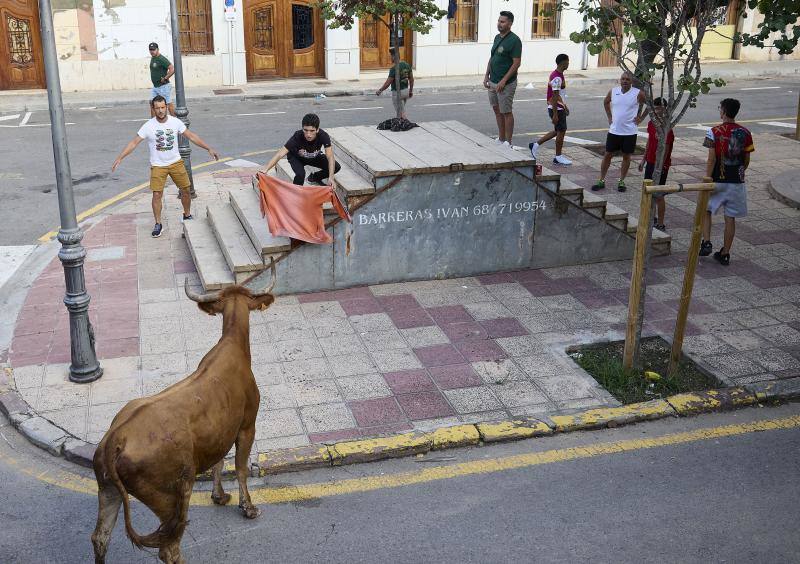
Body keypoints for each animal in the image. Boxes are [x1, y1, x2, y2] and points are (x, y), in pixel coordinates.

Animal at [92, 262, 276, 560]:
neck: (234, 345)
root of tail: (115, 439)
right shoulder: (247, 425)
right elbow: (240, 468)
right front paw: (248, 507)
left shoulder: (219, 432)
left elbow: (218, 462)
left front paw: (219, 496)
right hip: (173, 495)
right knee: (169, 548)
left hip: (107, 488)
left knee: (100, 538)